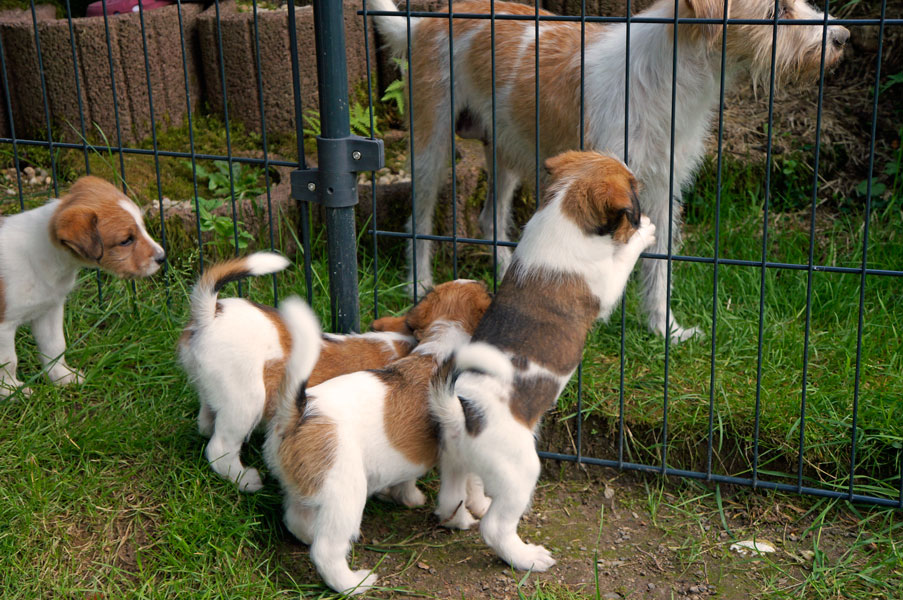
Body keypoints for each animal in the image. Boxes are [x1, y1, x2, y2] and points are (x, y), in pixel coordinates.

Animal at [0, 175, 165, 396]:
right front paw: (10, 391)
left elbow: (54, 346)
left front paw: (62, 377)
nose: (162, 257)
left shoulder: (49, 309)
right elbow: (8, 361)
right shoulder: (4, 325)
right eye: (126, 241)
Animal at [263, 279, 492, 595]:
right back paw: (354, 582)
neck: (440, 343)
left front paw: (408, 497)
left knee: (297, 521)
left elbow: (407, 479)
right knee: (325, 552)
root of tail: (298, 414)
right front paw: (473, 513)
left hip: (307, 490)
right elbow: (469, 490)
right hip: (346, 494)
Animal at [371, 0, 848, 341]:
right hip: (432, 147)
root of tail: (424, 24)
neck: (672, 78)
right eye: (777, 11)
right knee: (418, 220)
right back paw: (419, 284)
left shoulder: (662, 189)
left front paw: (665, 330)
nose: (842, 36)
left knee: (491, 219)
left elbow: (660, 267)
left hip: (505, 150)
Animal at [428, 151, 655, 571]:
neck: (564, 212)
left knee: (453, 500)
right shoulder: (607, 283)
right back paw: (526, 557)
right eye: (634, 194)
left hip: (455, 463)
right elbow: (624, 258)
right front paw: (645, 233)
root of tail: (461, 412)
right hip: (522, 470)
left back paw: (472, 509)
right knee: (496, 528)